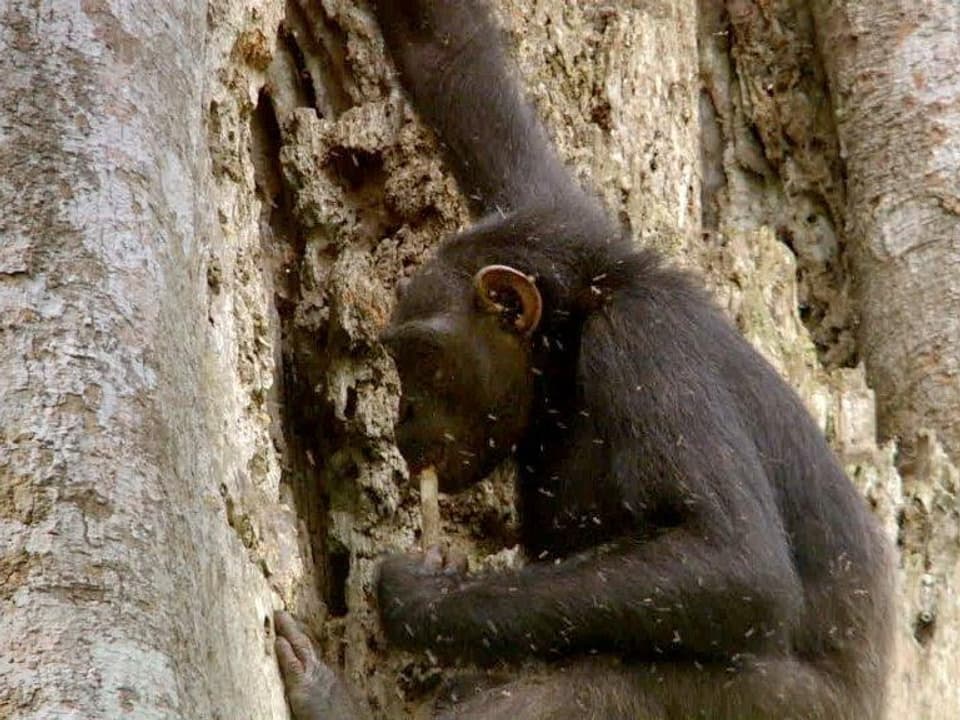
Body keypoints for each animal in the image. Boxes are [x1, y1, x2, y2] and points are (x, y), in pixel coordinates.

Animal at [276, 1, 892, 720]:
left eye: (423, 358)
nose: (403, 415)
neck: (569, 343)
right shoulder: (547, 210)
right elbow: (448, 58)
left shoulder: (642, 345)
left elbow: (733, 560)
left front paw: (423, 598)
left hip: (782, 708)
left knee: (595, 682)